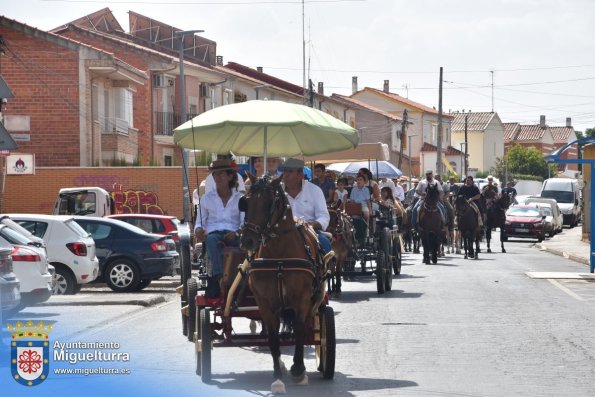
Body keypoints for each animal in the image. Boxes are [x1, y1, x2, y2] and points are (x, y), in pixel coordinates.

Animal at [240, 174, 328, 392]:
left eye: (269, 203)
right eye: (246, 201)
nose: (247, 241)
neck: (279, 256)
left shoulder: (302, 299)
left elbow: (299, 329)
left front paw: (298, 370)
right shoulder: (264, 302)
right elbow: (272, 336)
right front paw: (278, 376)